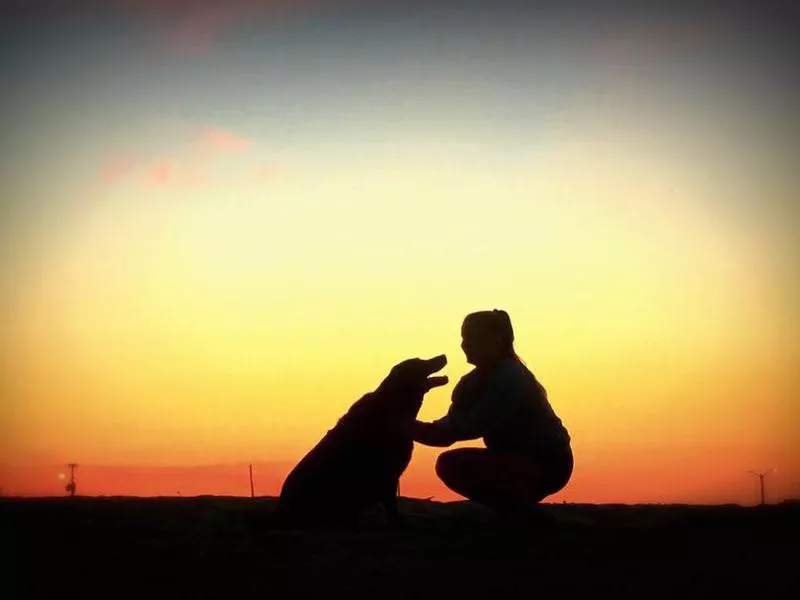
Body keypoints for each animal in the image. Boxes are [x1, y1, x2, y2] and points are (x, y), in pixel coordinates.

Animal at [276, 354, 450, 528]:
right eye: (420, 362)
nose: (443, 355)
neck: (394, 402)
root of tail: (280, 513)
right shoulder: (388, 473)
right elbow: (391, 506)